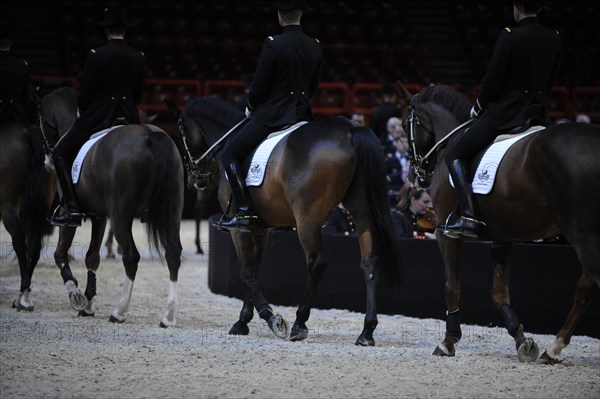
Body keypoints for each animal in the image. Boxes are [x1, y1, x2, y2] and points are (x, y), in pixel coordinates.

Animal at [38, 88, 184, 328]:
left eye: (39, 119)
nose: (47, 161)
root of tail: (150, 135)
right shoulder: (100, 216)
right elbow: (92, 257)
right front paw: (88, 305)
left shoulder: (71, 215)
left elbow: (60, 253)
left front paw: (76, 295)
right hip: (171, 212)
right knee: (173, 253)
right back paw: (168, 317)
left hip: (121, 215)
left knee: (131, 257)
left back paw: (119, 311)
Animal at [178, 97, 404, 346]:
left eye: (182, 135)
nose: (193, 181)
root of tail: (350, 131)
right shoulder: (260, 228)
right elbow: (254, 270)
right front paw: (244, 320)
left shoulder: (240, 229)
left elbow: (246, 272)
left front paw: (270, 319)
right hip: (361, 210)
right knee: (369, 263)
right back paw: (366, 332)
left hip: (307, 218)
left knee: (316, 263)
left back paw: (299, 323)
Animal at [398, 83, 600, 364]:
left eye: (405, 125)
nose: (414, 176)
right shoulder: (502, 237)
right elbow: (499, 292)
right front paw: (522, 340)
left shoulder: (446, 233)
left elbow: (452, 286)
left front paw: (448, 342)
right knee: (587, 284)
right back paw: (553, 348)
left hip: (581, 231)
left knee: (588, 282)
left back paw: (555, 347)